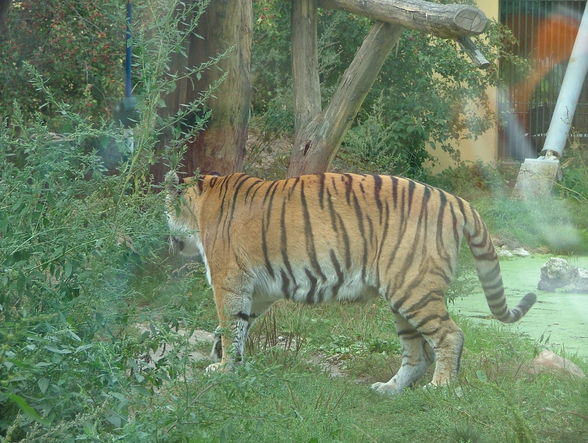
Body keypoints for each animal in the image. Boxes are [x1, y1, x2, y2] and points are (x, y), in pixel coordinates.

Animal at [165, 171, 536, 396]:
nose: (167, 242)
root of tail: (457, 200)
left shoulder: (229, 281)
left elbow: (229, 326)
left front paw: (222, 368)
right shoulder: (257, 293)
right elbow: (237, 327)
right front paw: (228, 360)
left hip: (413, 289)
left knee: (450, 336)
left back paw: (440, 388)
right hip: (403, 296)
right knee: (417, 354)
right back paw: (389, 389)